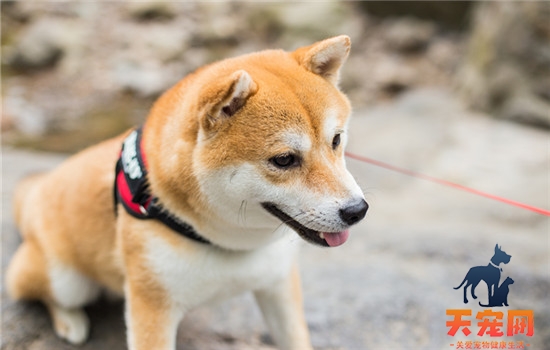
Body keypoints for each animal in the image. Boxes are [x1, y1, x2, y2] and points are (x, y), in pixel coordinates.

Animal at [6, 35, 368, 350]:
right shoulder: (152, 306)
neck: (228, 244)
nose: (357, 210)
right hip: (65, 279)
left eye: (336, 140)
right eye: (283, 160)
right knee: (33, 288)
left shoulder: (278, 284)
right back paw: (70, 321)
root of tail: (39, 190)